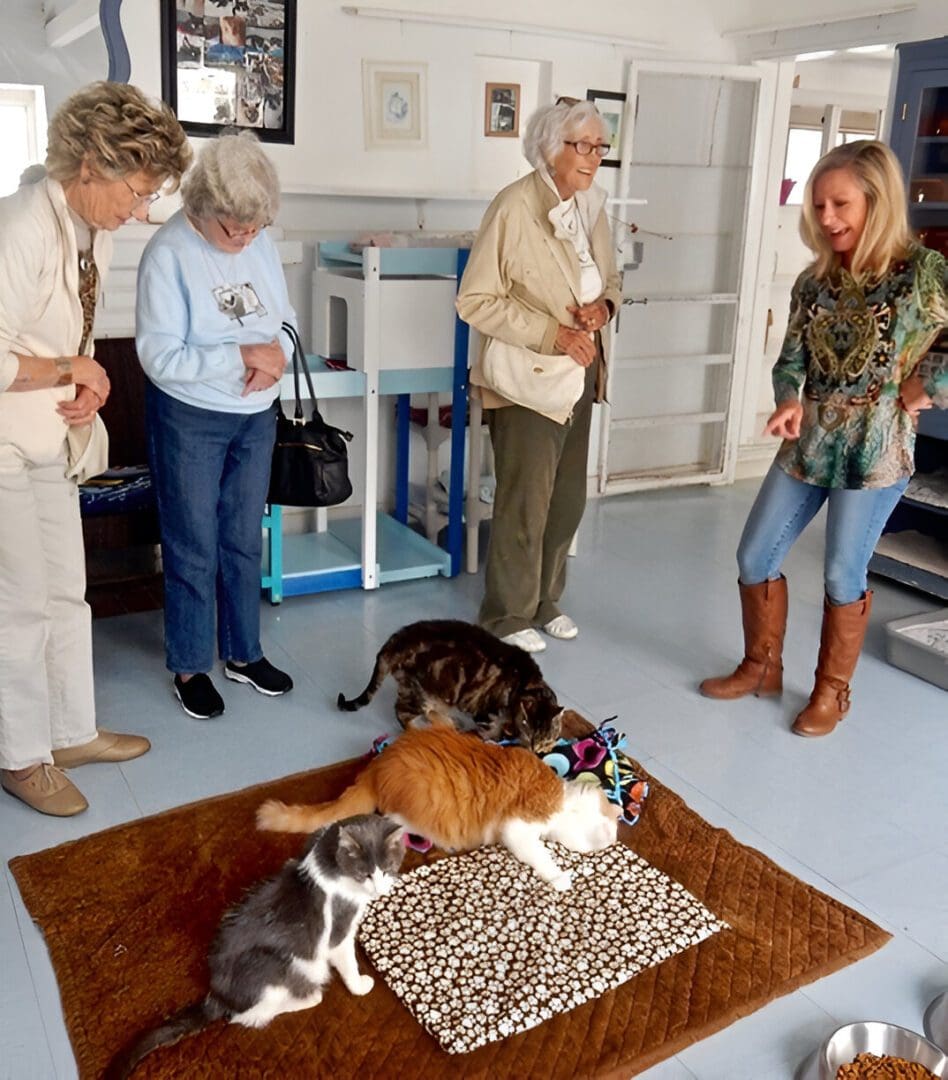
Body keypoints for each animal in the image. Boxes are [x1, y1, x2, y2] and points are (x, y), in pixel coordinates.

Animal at [107, 812, 403, 1075]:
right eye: (364, 874)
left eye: (388, 869)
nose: (379, 889)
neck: (327, 861)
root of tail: (217, 995)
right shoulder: (338, 932)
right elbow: (347, 960)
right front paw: (360, 985)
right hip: (280, 964)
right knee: (247, 1016)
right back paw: (309, 996)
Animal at [258, 712, 621, 889]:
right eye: (613, 826)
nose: (614, 839)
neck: (561, 796)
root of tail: (379, 763)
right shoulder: (518, 828)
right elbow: (541, 857)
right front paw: (560, 878)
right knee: (394, 822)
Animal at [341, 617, 565, 751]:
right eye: (530, 730)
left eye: (547, 736)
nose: (536, 749)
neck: (526, 684)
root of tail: (392, 644)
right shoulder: (486, 713)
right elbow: (489, 733)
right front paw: (494, 743)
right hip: (421, 691)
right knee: (402, 713)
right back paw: (421, 729)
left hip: (431, 692)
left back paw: (450, 722)